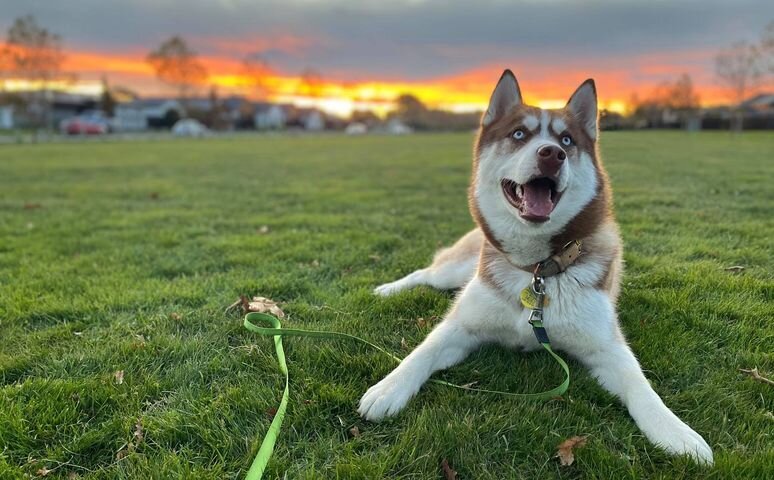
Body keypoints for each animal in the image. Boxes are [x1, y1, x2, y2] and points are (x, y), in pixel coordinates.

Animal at [358, 70, 713, 464]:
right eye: (518, 134)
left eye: (567, 140)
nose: (552, 154)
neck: (536, 270)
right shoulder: (462, 325)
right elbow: (423, 350)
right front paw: (389, 388)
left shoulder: (606, 345)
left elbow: (641, 385)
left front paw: (675, 432)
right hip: (455, 270)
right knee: (426, 274)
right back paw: (386, 290)